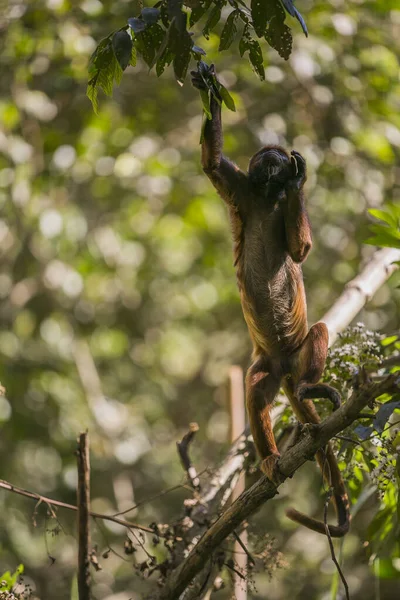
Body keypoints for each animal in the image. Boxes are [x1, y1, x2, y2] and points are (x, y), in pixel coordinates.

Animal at [191, 67, 350, 540]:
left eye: (278, 158)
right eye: (265, 158)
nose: (273, 162)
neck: (264, 196)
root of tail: (285, 364)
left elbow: (301, 251)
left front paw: (299, 181)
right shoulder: (243, 189)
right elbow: (211, 165)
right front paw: (209, 88)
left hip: (299, 354)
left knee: (317, 334)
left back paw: (309, 387)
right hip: (266, 363)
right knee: (255, 390)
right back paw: (269, 458)